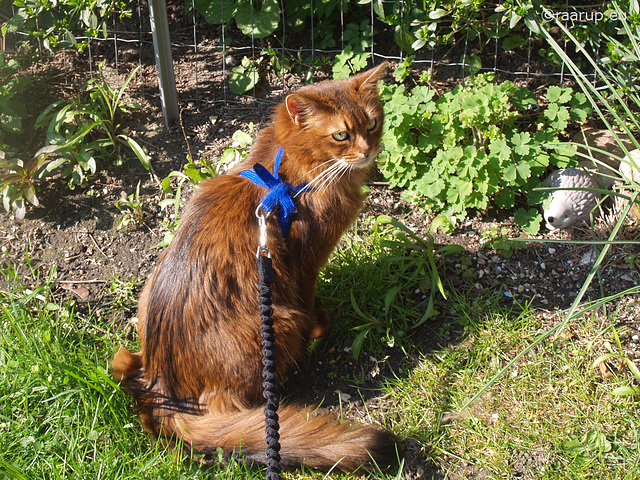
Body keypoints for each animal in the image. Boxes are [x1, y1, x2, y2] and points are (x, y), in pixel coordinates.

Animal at [112, 63, 398, 472]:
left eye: (373, 123)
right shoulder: (306, 262)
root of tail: (163, 388)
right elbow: (309, 301)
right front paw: (321, 327)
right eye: (341, 135)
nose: (368, 149)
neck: (287, 176)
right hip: (277, 324)